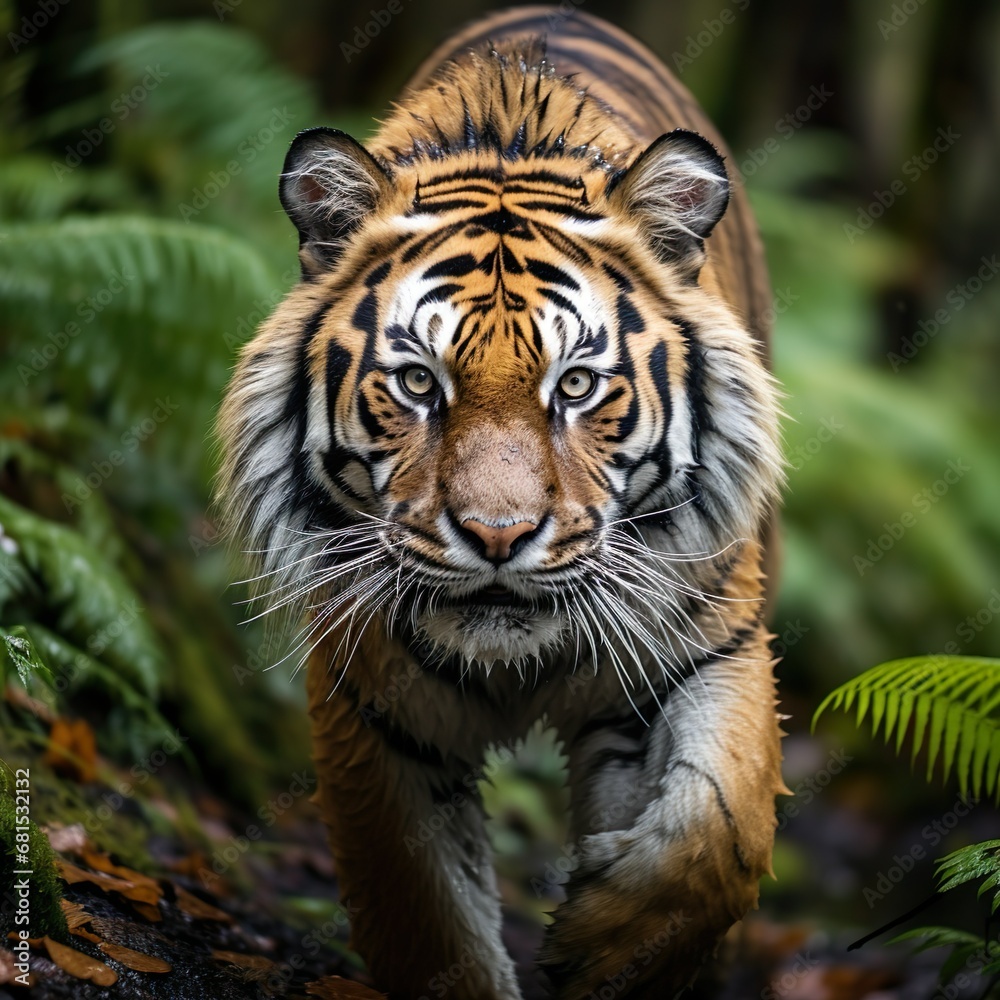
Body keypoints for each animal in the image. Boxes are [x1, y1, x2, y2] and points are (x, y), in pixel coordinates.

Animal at [217, 6, 787, 999]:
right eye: (417, 382)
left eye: (577, 385)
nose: (497, 536)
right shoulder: (371, 702)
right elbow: (424, 909)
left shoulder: (705, 640)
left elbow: (717, 824)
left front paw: (607, 944)